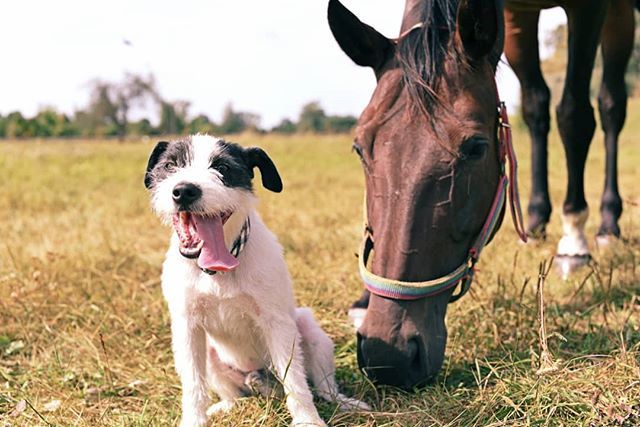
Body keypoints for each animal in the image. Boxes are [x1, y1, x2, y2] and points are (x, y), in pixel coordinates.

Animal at [504, 0, 637, 274]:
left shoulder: (588, 8)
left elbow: (575, 116)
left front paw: (574, 241)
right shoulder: (515, 13)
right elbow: (534, 105)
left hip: (619, 11)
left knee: (611, 106)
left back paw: (608, 223)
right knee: (537, 106)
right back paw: (536, 221)